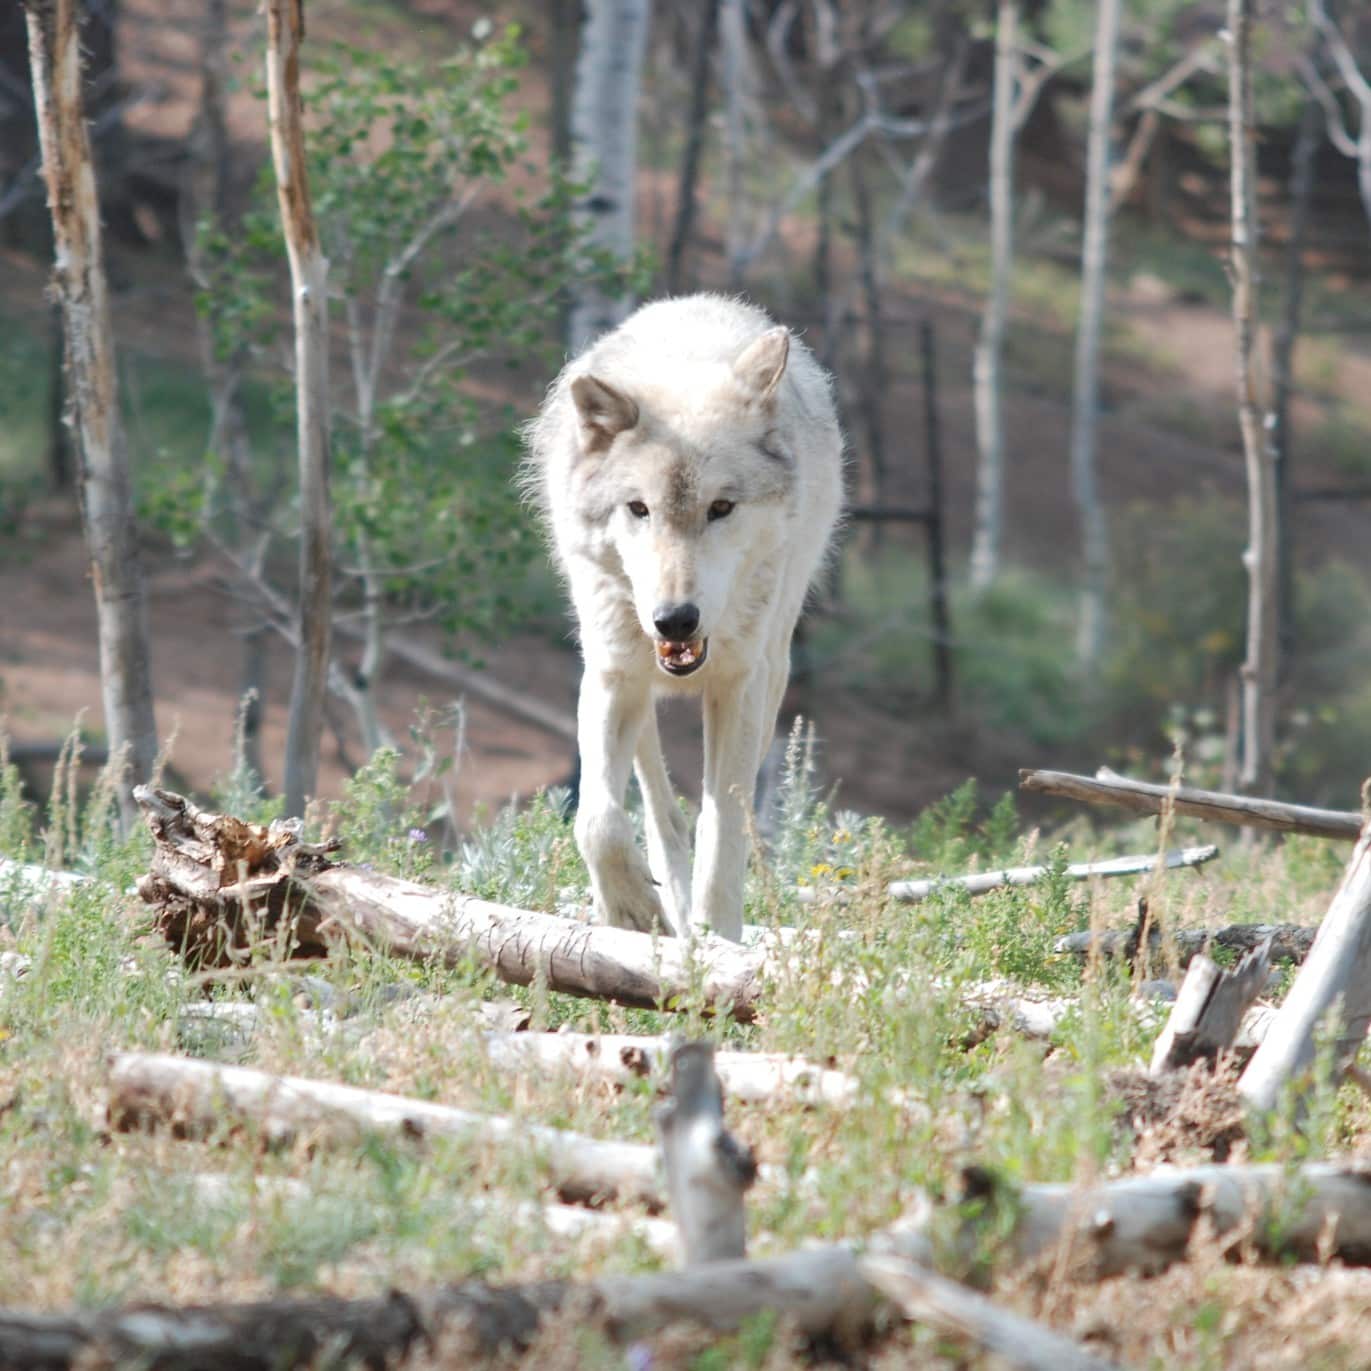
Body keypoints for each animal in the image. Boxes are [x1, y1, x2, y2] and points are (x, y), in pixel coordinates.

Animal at [529, 296, 839, 943]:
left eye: (721, 508)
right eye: (638, 508)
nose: (674, 620)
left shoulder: (739, 687)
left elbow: (722, 829)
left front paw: (718, 941)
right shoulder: (611, 674)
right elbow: (597, 820)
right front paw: (629, 910)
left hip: (774, 670)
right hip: (627, 680)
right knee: (658, 810)